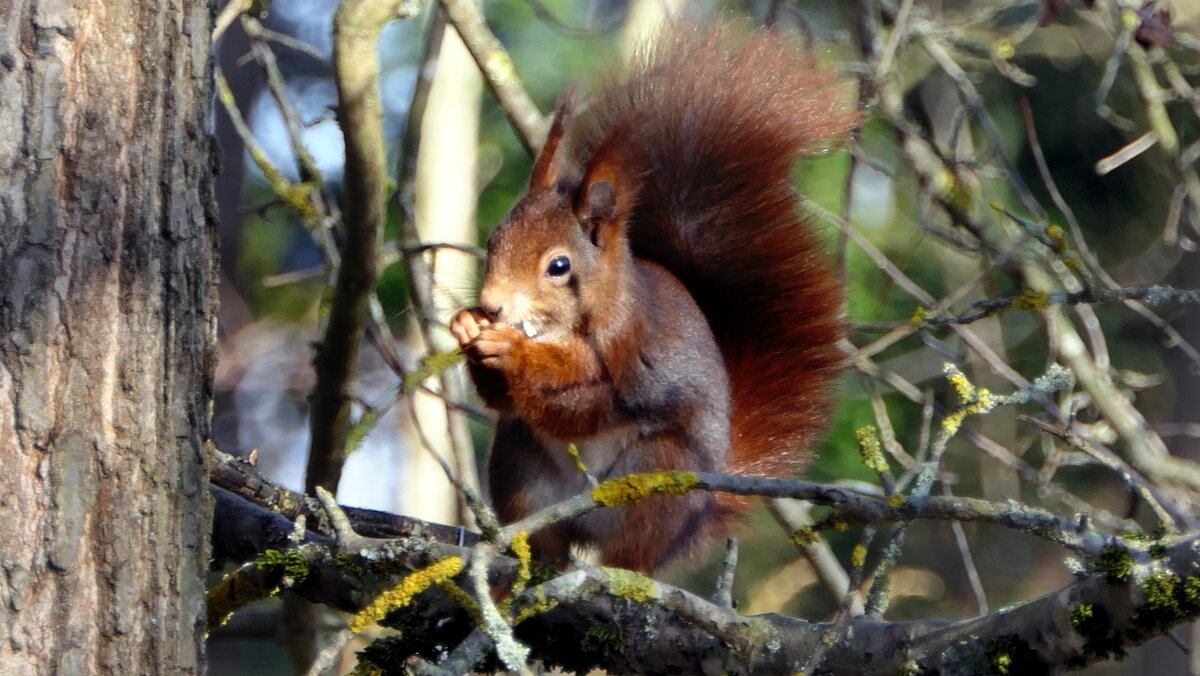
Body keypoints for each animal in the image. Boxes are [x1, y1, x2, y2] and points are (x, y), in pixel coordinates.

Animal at [451, 21, 854, 573]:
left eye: (559, 266)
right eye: (493, 240)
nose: (492, 306)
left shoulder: (633, 352)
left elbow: (585, 402)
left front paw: (512, 350)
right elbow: (503, 401)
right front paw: (467, 325)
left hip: (658, 482)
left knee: (630, 556)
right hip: (522, 471)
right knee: (542, 532)